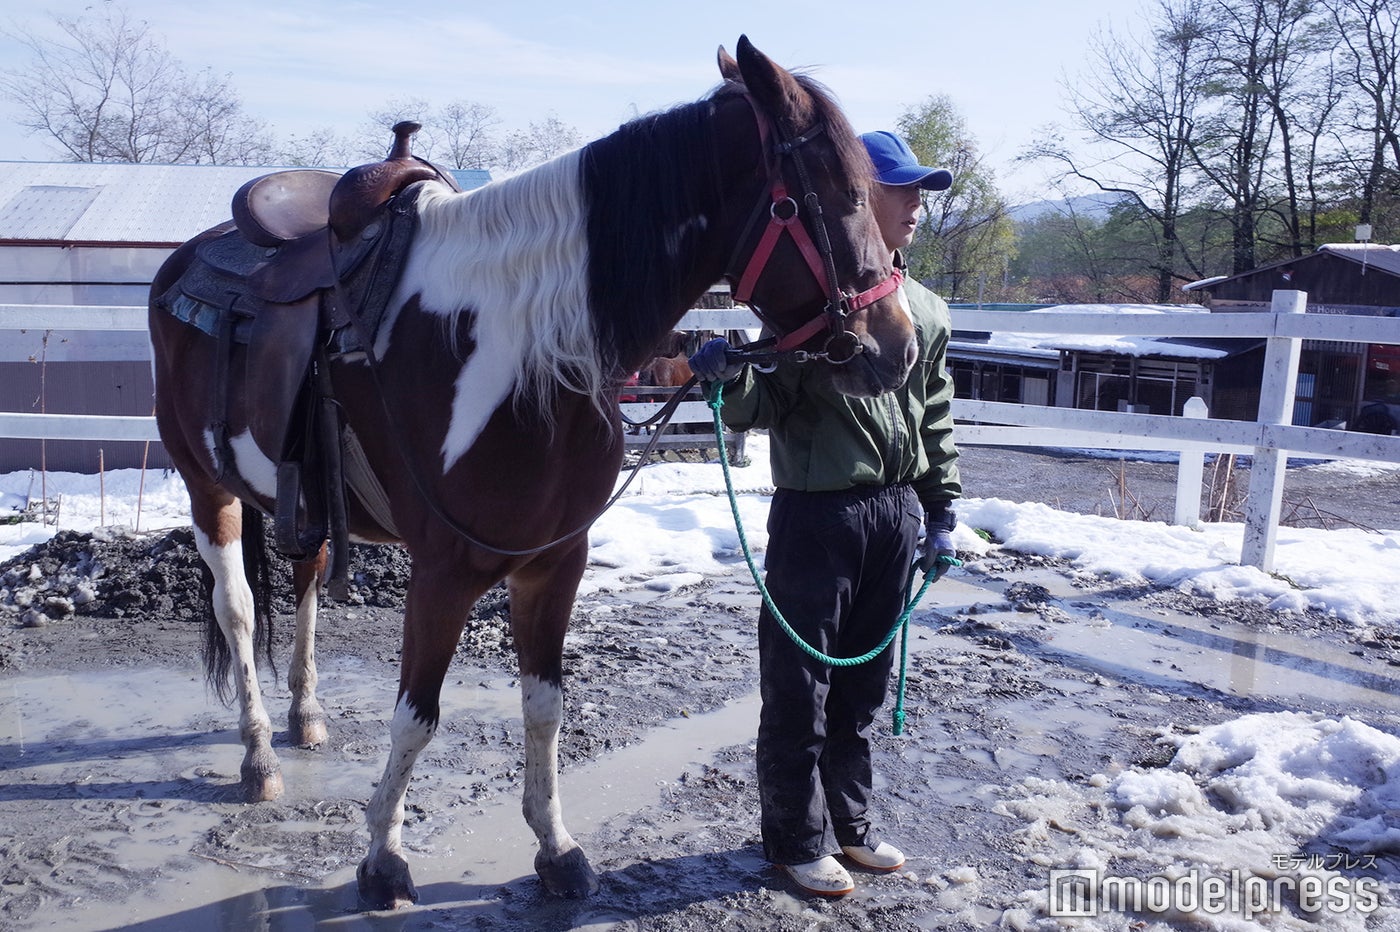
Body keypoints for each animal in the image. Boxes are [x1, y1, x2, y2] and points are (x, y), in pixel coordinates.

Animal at [147, 35, 917, 910]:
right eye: (844, 194)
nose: (898, 347)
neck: (525, 354)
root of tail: (184, 262)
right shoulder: (443, 573)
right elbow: (417, 715)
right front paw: (383, 859)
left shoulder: (554, 563)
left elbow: (545, 706)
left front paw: (556, 848)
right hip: (206, 486)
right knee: (238, 610)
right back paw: (258, 756)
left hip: (302, 496)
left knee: (306, 578)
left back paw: (305, 717)